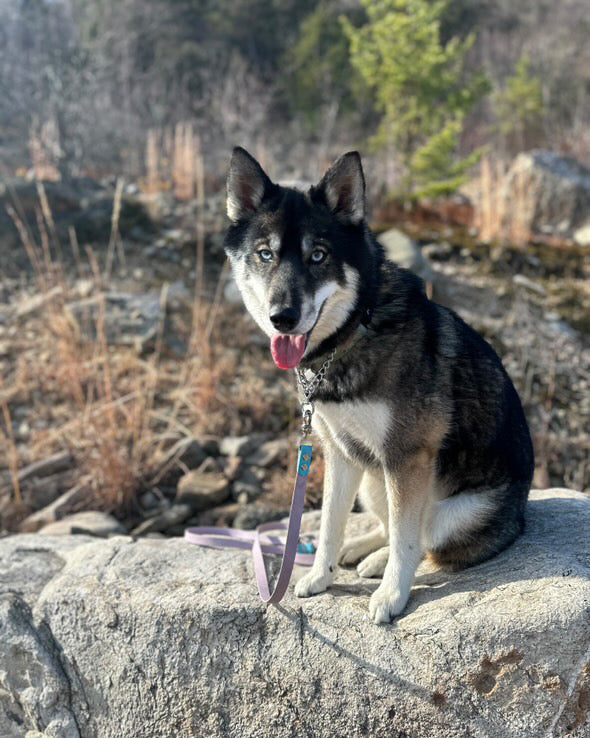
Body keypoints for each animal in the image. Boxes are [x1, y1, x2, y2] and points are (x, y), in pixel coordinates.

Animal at [223, 148, 536, 620]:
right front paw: (321, 576)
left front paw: (392, 596)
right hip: (372, 481)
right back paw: (364, 550)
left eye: (319, 256)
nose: (283, 318)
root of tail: (521, 516)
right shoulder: (339, 455)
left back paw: (377, 561)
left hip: (449, 511)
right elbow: (331, 524)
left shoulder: (406, 458)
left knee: (425, 538)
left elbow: (408, 541)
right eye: (264, 254)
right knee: (389, 523)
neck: (356, 328)